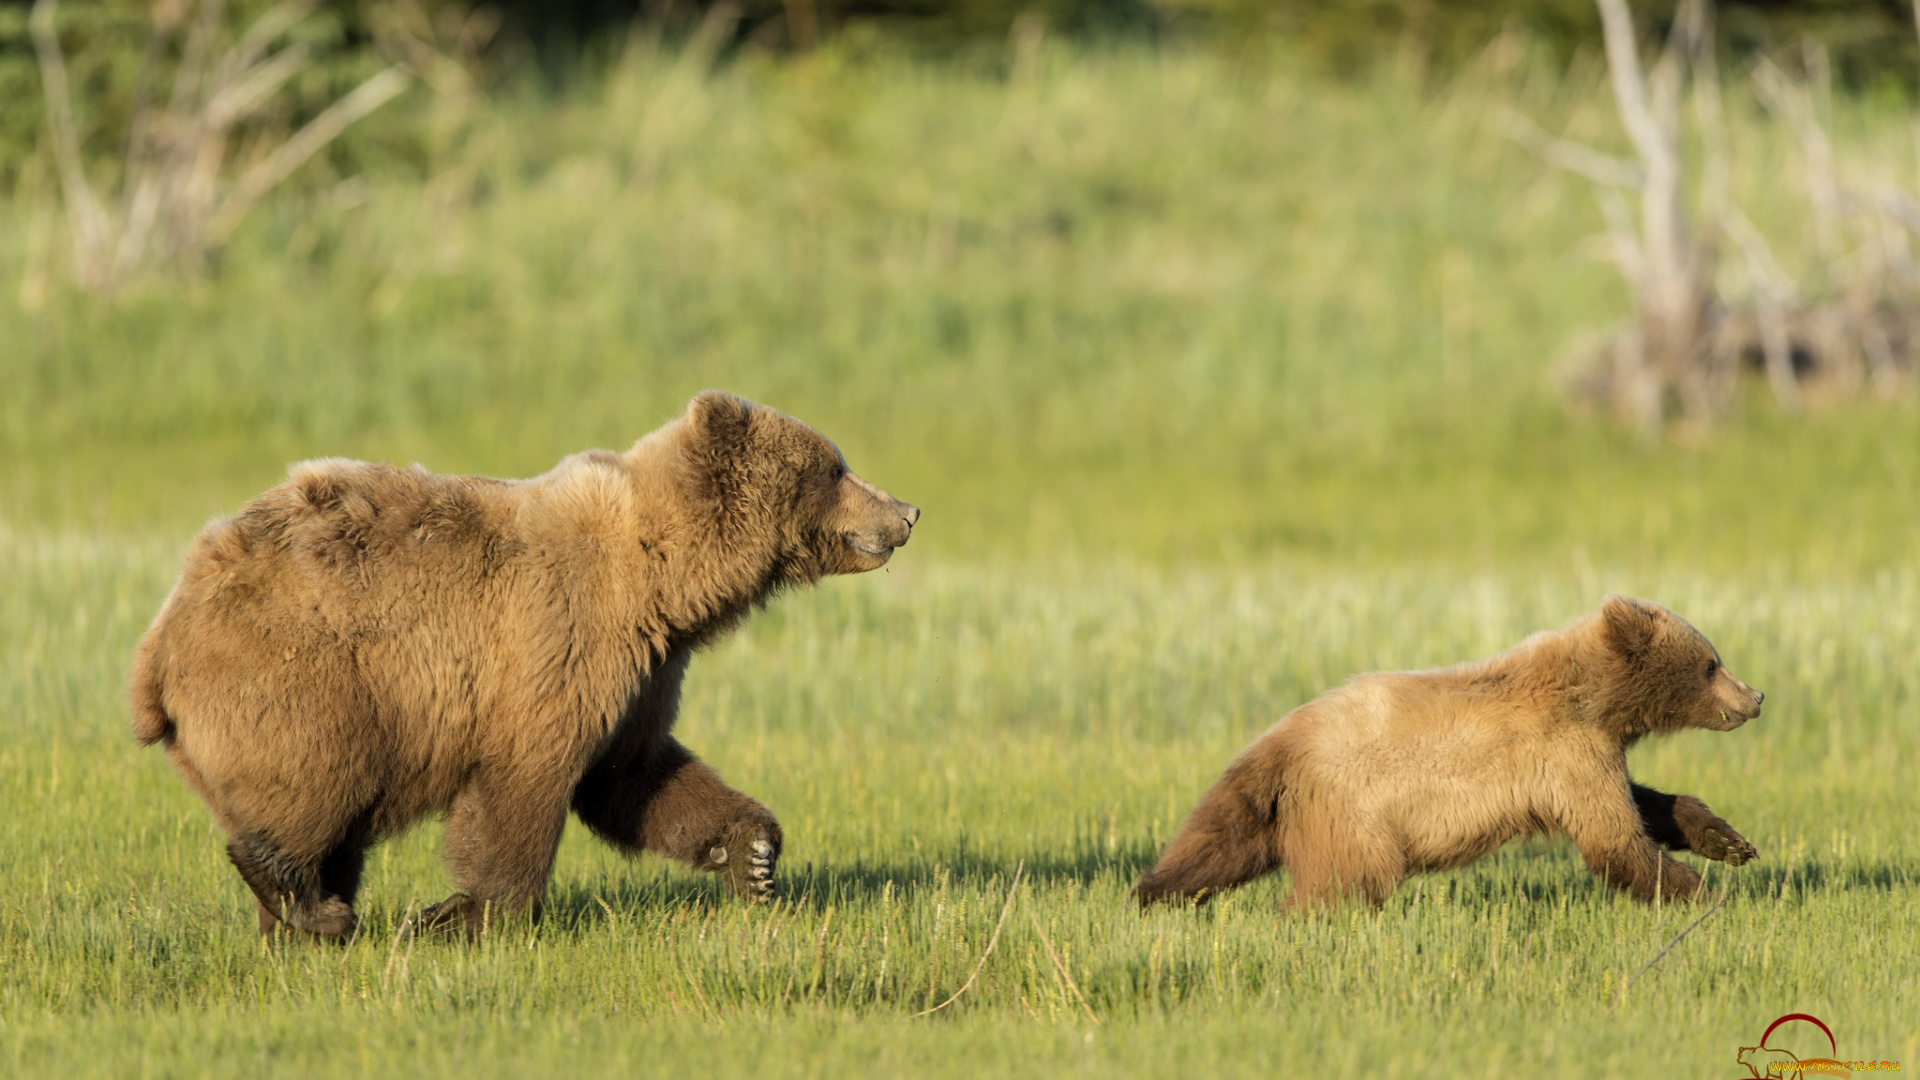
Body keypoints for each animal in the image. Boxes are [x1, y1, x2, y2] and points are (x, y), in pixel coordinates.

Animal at [129, 388, 921, 933]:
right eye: (835, 467)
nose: (908, 512)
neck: (660, 578)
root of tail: (159, 643)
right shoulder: (557, 633)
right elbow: (525, 780)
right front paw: (471, 915)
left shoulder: (645, 668)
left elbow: (637, 773)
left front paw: (753, 857)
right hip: (306, 675)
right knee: (317, 785)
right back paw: (310, 905)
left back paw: (302, 921)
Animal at [1128, 595, 1758, 907]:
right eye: (1711, 663)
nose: (1756, 696)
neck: (1595, 700)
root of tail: (1280, 740)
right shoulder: (1564, 750)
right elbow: (1616, 840)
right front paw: (1705, 896)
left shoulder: (1588, 752)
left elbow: (1644, 803)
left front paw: (1728, 842)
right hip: (1353, 814)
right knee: (1345, 885)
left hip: (1274, 809)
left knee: (1215, 847)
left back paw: (1152, 893)